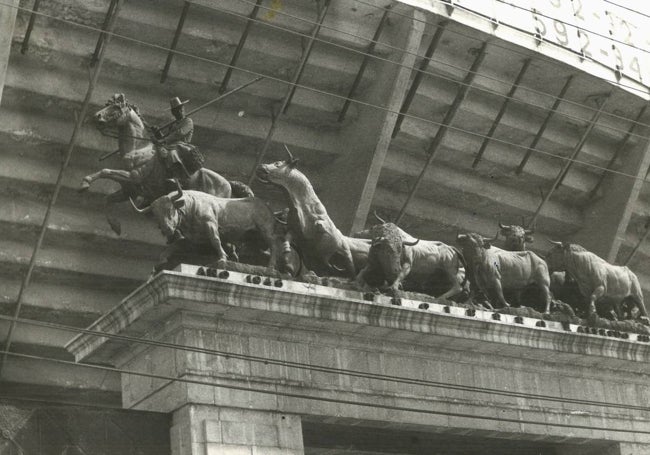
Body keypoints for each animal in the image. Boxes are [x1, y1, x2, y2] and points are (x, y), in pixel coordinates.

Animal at [76, 93, 248, 235]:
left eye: (116, 107)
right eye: (108, 104)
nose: (96, 116)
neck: (139, 148)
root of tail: (228, 183)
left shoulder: (133, 176)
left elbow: (105, 171)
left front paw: (85, 183)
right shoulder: (129, 190)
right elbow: (107, 199)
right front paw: (115, 226)